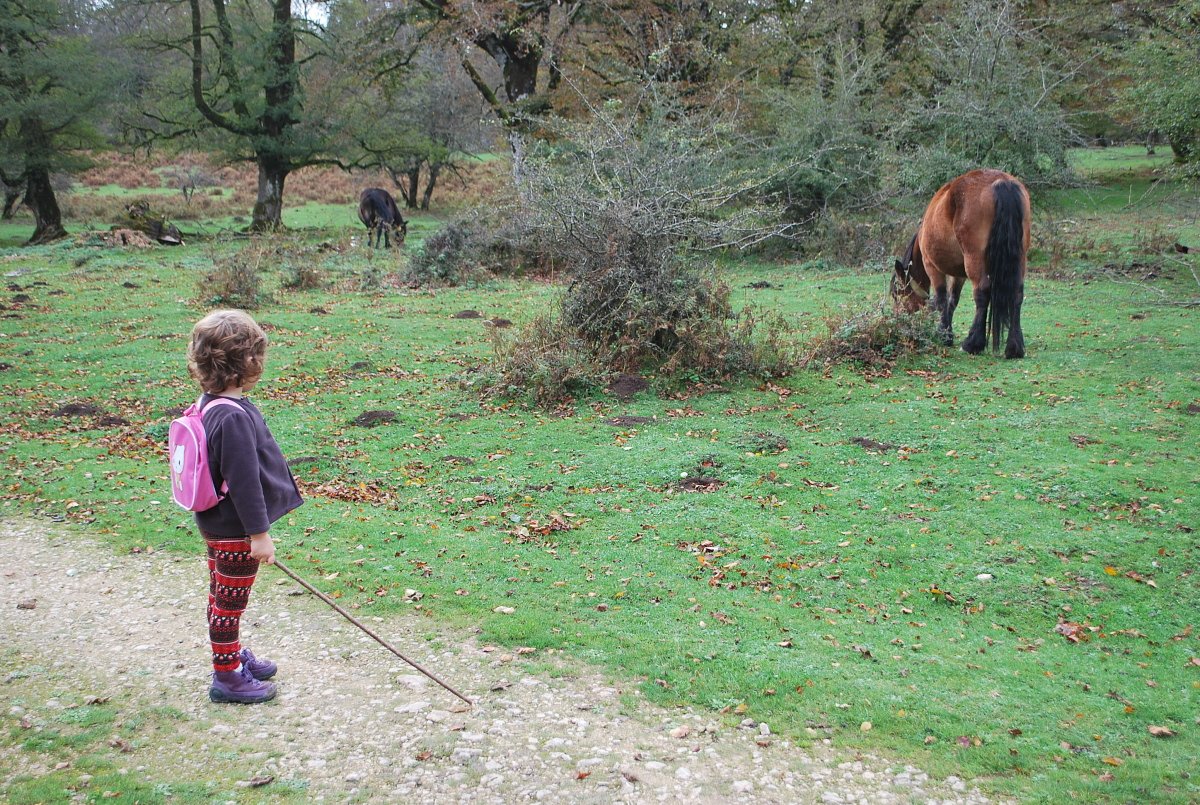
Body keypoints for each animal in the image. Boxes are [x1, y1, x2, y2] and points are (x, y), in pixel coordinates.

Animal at [892, 169, 1032, 359]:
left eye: (897, 295)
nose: (898, 323)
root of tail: (1001, 182)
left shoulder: (932, 267)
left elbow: (941, 299)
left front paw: (943, 335)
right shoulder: (959, 274)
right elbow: (953, 300)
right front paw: (947, 333)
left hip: (974, 261)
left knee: (982, 293)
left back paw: (973, 343)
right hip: (1020, 259)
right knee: (1017, 293)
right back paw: (1014, 348)